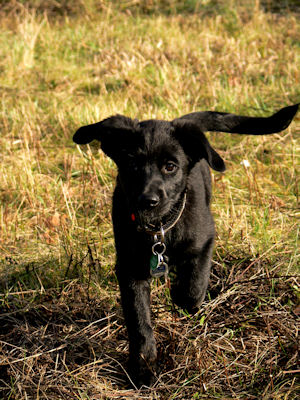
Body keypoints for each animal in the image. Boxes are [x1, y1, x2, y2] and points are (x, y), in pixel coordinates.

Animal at [72, 103, 298, 388]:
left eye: (170, 167)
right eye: (132, 164)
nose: (147, 200)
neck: (160, 229)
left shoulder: (205, 240)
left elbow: (192, 288)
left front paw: (182, 299)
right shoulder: (129, 267)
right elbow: (139, 320)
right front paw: (143, 369)